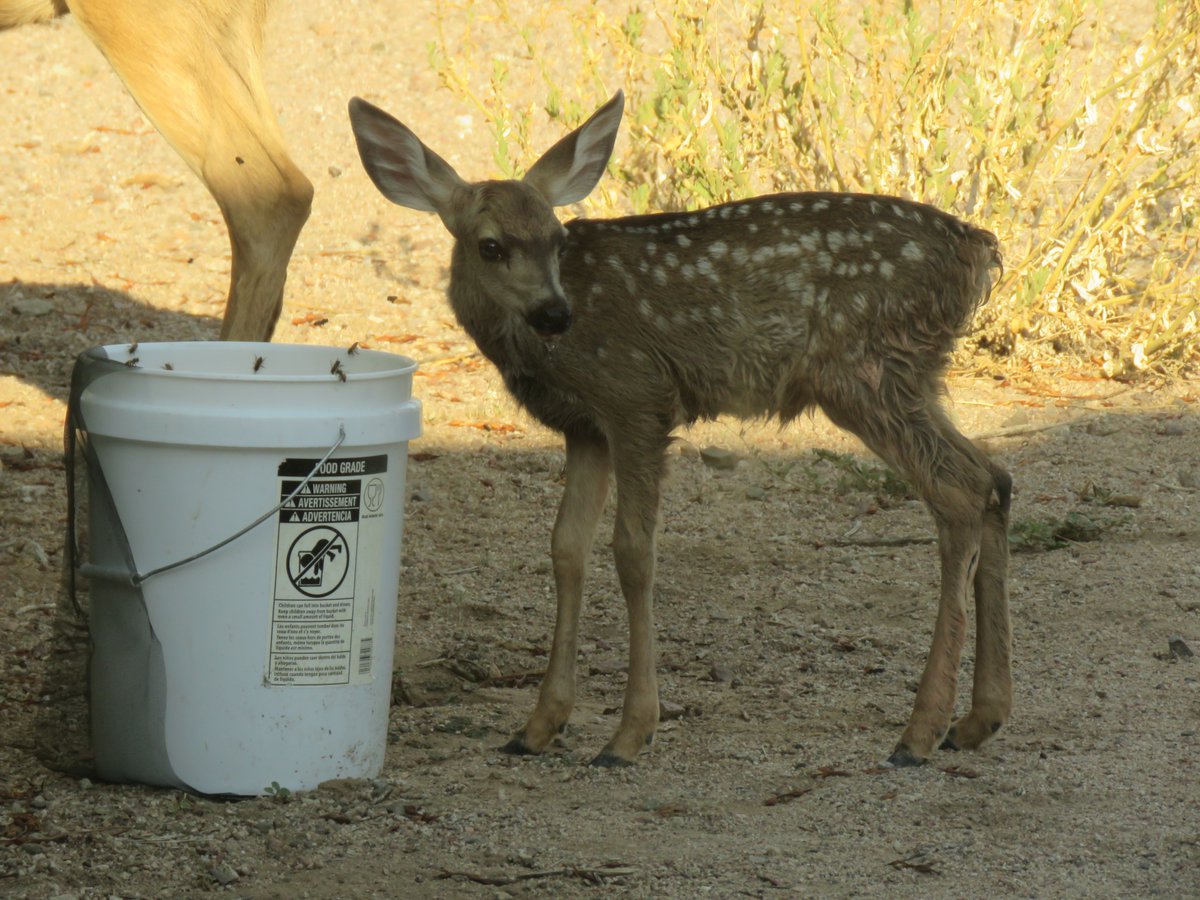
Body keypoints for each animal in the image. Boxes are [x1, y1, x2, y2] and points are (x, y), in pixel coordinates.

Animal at [348, 89, 1013, 768]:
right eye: (490, 245)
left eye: (557, 238)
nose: (555, 313)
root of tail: (979, 248)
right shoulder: (585, 428)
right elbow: (566, 548)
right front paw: (537, 727)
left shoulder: (637, 396)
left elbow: (632, 550)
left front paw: (629, 734)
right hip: (914, 376)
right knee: (994, 476)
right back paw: (976, 720)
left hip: (864, 369)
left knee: (960, 488)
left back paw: (920, 731)